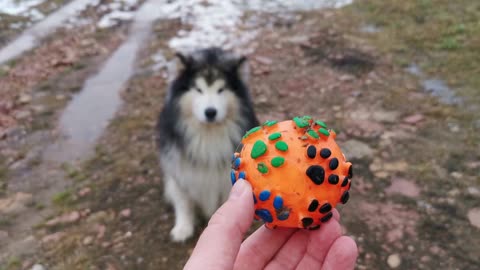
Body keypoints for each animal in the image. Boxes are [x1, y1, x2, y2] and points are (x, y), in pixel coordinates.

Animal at [156, 47, 258, 242]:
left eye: (221, 90)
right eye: (198, 89)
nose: (210, 112)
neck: (208, 134)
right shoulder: (180, 170)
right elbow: (183, 201)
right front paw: (183, 228)